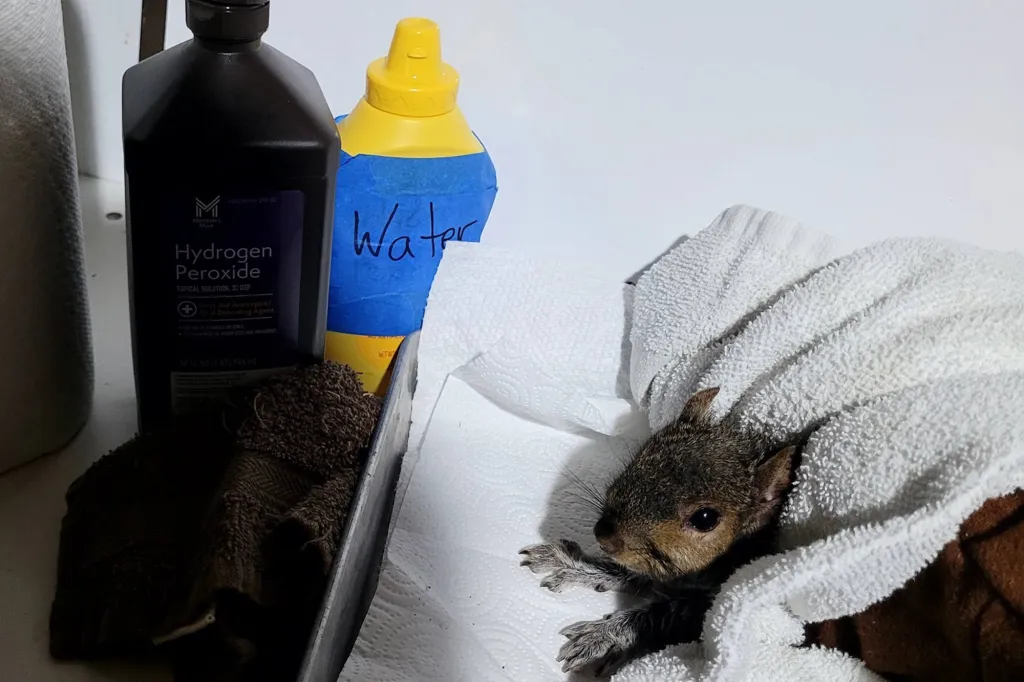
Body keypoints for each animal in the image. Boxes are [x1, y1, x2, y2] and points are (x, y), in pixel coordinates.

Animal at [519, 387, 797, 677]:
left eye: (705, 519)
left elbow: (662, 615)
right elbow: (626, 570)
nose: (604, 536)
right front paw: (571, 564)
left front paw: (601, 636)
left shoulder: (708, 610)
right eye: (643, 454)